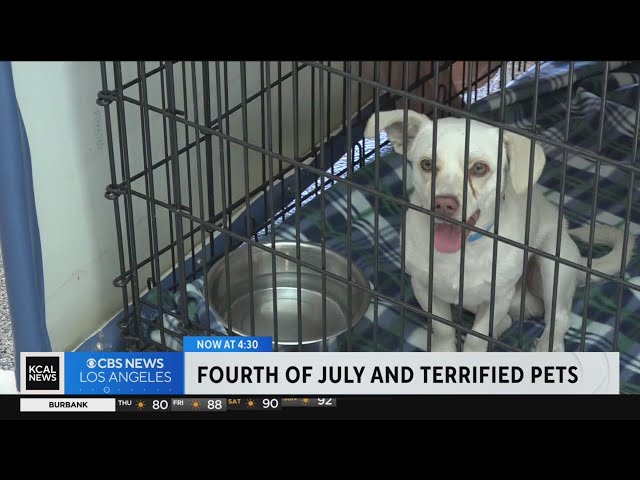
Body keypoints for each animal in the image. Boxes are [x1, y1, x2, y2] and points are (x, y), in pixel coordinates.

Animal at [364, 109, 636, 352]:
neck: (463, 252)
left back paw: (548, 347)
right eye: (427, 164)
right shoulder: (423, 287)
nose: (443, 204)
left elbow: (476, 339)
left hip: (553, 265)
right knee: (508, 320)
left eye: (479, 168)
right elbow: (444, 329)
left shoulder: (498, 298)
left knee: (559, 317)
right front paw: (444, 353)